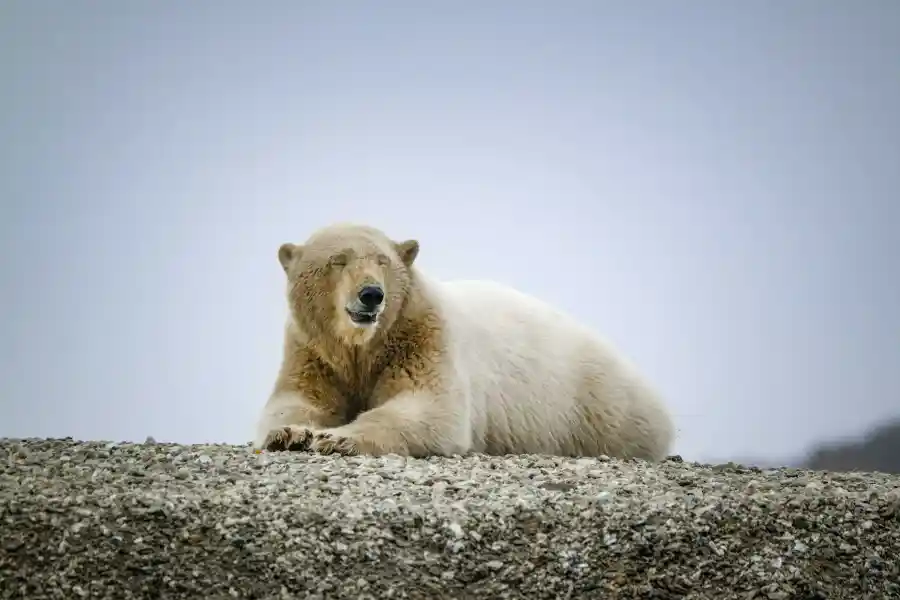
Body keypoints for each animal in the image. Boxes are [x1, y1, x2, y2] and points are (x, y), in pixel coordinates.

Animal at [253, 222, 675, 460]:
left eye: (383, 261)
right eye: (338, 260)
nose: (371, 294)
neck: (364, 346)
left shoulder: (422, 336)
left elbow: (429, 407)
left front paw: (336, 438)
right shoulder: (312, 350)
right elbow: (298, 401)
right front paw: (292, 433)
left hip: (593, 404)